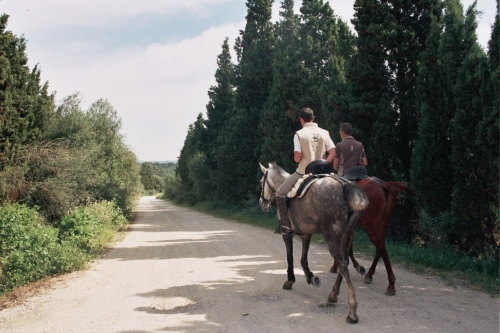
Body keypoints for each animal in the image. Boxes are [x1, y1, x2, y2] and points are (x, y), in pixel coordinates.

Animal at [260, 162, 370, 322]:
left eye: (261, 181)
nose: (262, 202)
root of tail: (345, 184)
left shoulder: (287, 234)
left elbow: (290, 257)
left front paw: (290, 280)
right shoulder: (306, 234)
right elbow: (303, 258)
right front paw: (310, 276)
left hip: (333, 238)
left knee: (342, 264)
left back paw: (352, 312)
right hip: (347, 236)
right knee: (344, 262)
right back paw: (333, 295)